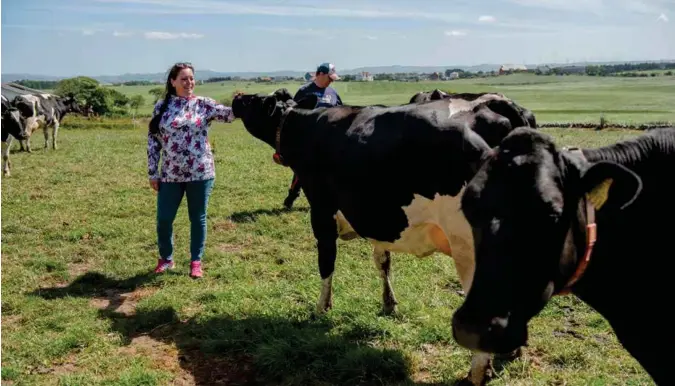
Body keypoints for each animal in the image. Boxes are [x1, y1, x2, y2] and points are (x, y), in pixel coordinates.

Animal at [232, 88, 532, 386]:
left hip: (469, 246)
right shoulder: (377, 220)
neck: (304, 126)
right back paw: (511, 350)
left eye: (255, 100)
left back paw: (477, 372)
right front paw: (388, 304)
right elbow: (383, 261)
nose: (236, 96)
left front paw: (321, 308)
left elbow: (326, 262)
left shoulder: (321, 211)